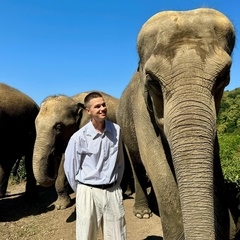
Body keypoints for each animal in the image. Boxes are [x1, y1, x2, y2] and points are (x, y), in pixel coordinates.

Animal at [116, 8, 236, 239]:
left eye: (224, 76)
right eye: (153, 81)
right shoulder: (141, 109)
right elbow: (155, 161)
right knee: (136, 163)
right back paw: (143, 212)